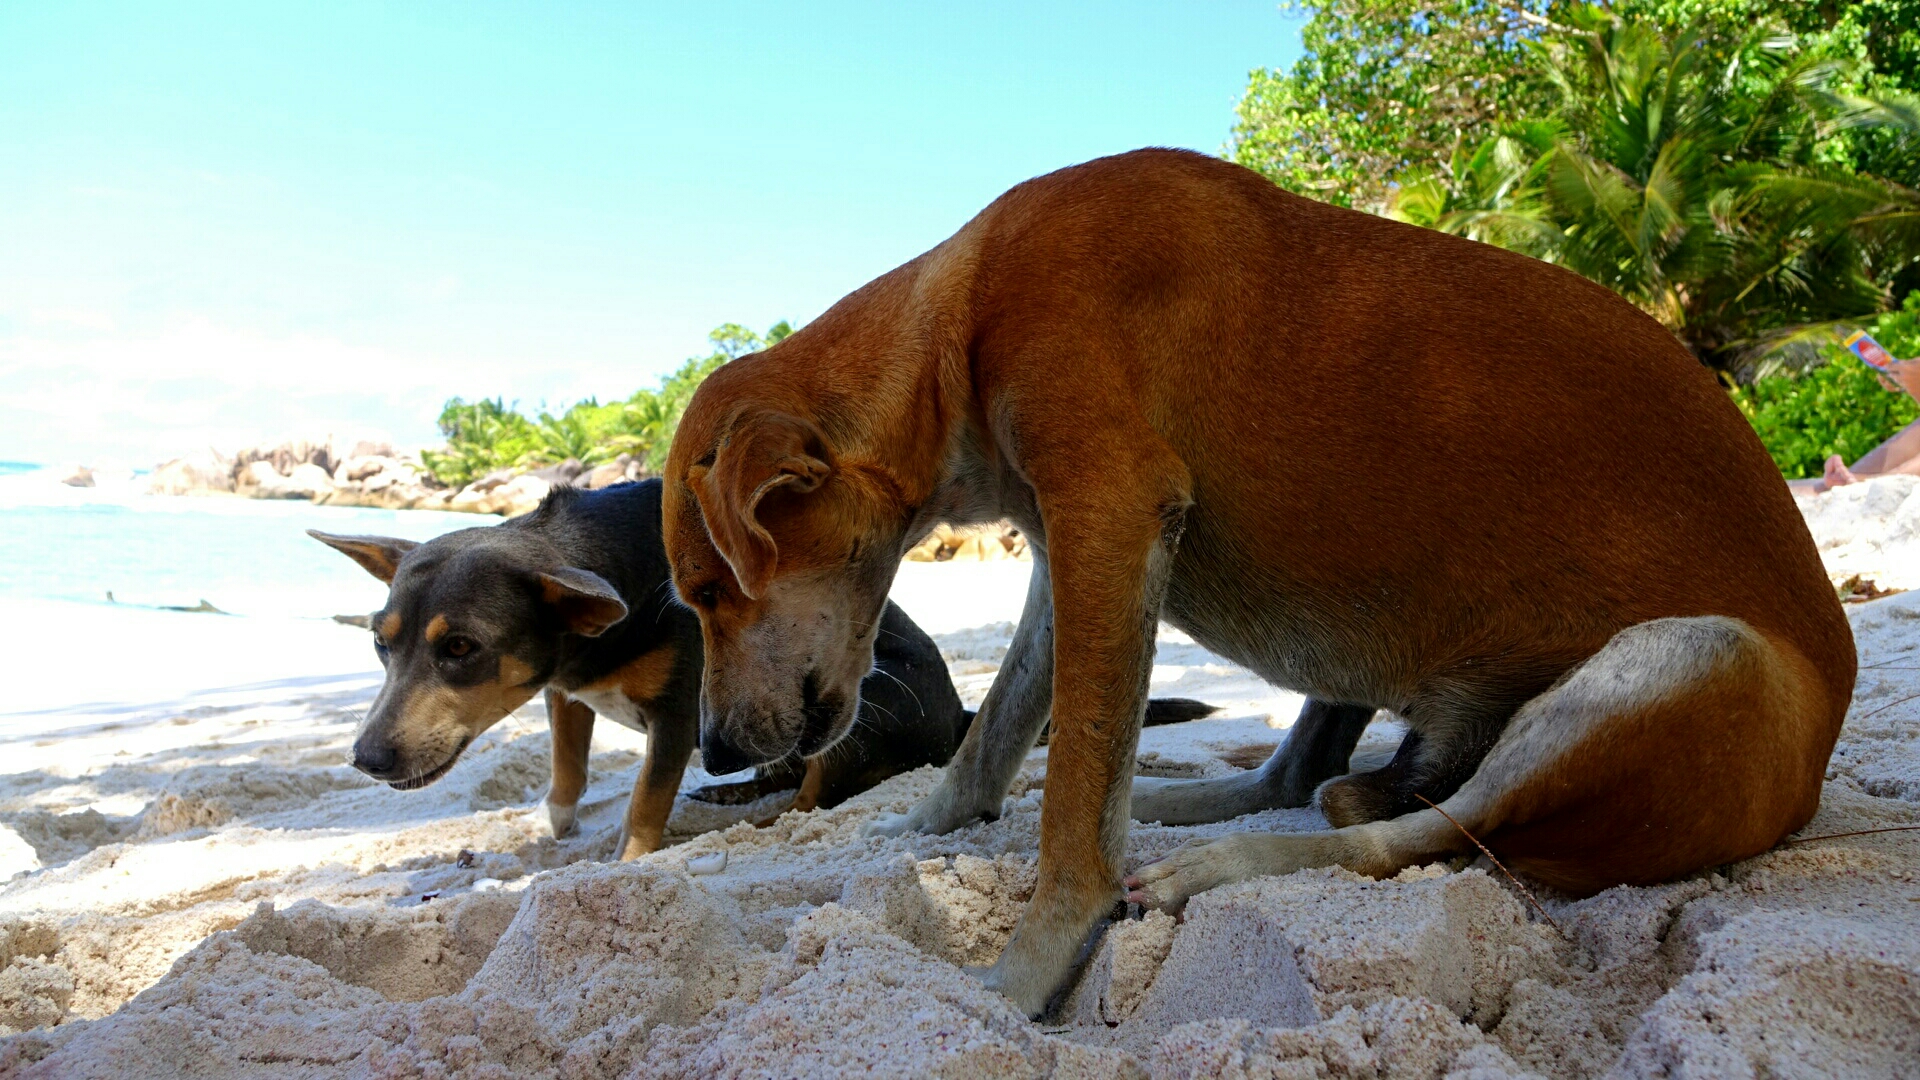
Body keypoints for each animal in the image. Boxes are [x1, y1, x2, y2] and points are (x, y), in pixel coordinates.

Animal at [314, 478, 1213, 857]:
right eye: (379, 644)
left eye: (461, 648)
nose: (366, 759)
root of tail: (958, 714)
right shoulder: (568, 691)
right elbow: (568, 763)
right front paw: (561, 823)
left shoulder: (681, 716)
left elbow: (644, 801)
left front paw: (629, 862)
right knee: (782, 778)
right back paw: (736, 793)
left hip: (850, 695)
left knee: (813, 794)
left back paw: (757, 818)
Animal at [656, 147, 1843, 1014]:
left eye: (707, 595)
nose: (712, 752)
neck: (963, 313)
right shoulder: (1070, 551)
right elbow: (999, 732)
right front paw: (925, 822)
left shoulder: (1107, 516)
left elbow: (1076, 802)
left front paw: (1023, 976)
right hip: (1364, 620)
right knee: (1311, 774)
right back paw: (1192, 802)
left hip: (1689, 658)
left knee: (1418, 839)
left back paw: (1212, 865)